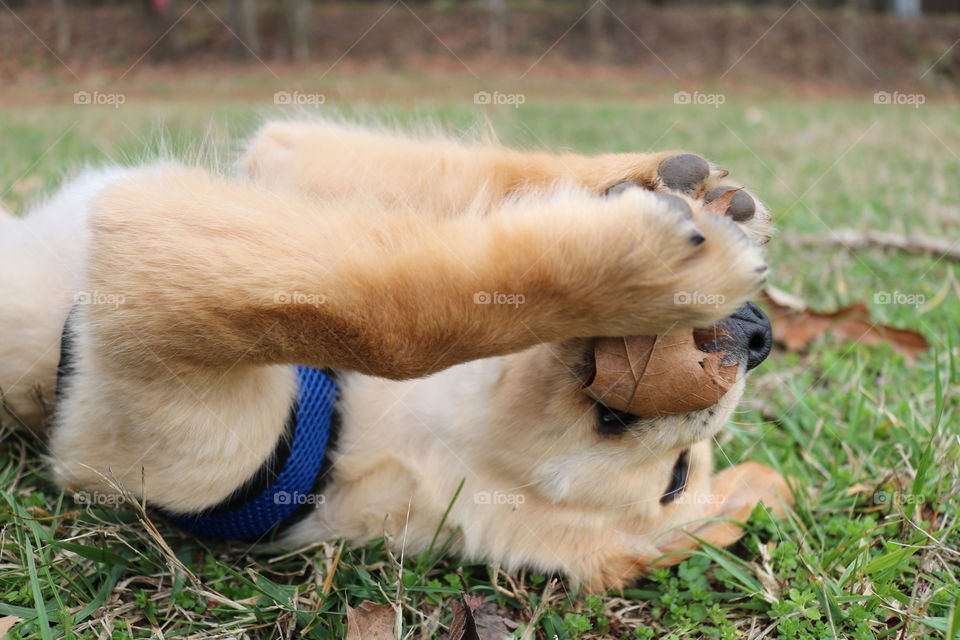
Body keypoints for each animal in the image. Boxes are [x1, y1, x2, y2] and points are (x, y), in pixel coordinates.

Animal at [1, 120, 788, 592]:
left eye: (676, 480)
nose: (759, 336)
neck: (349, 427)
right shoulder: (280, 162)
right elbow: (453, 194)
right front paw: (659, 185)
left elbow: (397, 319)